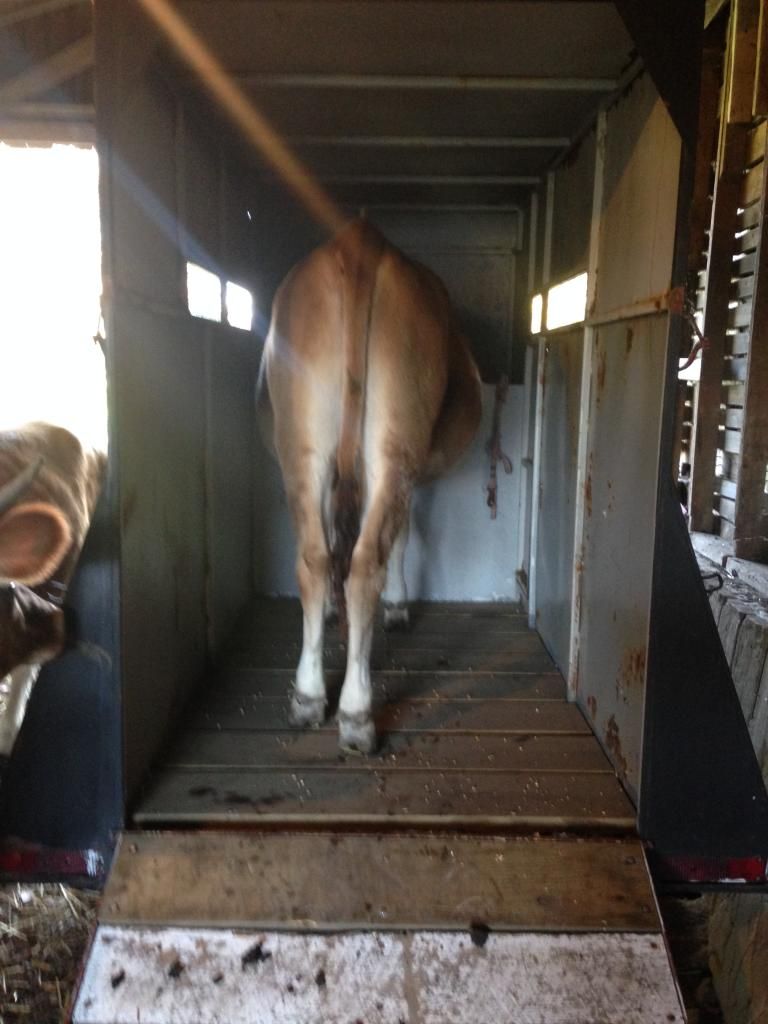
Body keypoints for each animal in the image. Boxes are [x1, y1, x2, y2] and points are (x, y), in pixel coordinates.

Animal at [259, 219, 482, 753]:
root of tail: (359, 238)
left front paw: (330, 612)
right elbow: (402, 537)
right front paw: (397, 607)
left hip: (304, 447)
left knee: (315, 557)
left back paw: (308, 695)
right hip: (395, 446)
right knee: (366, 562)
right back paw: (357, 711)